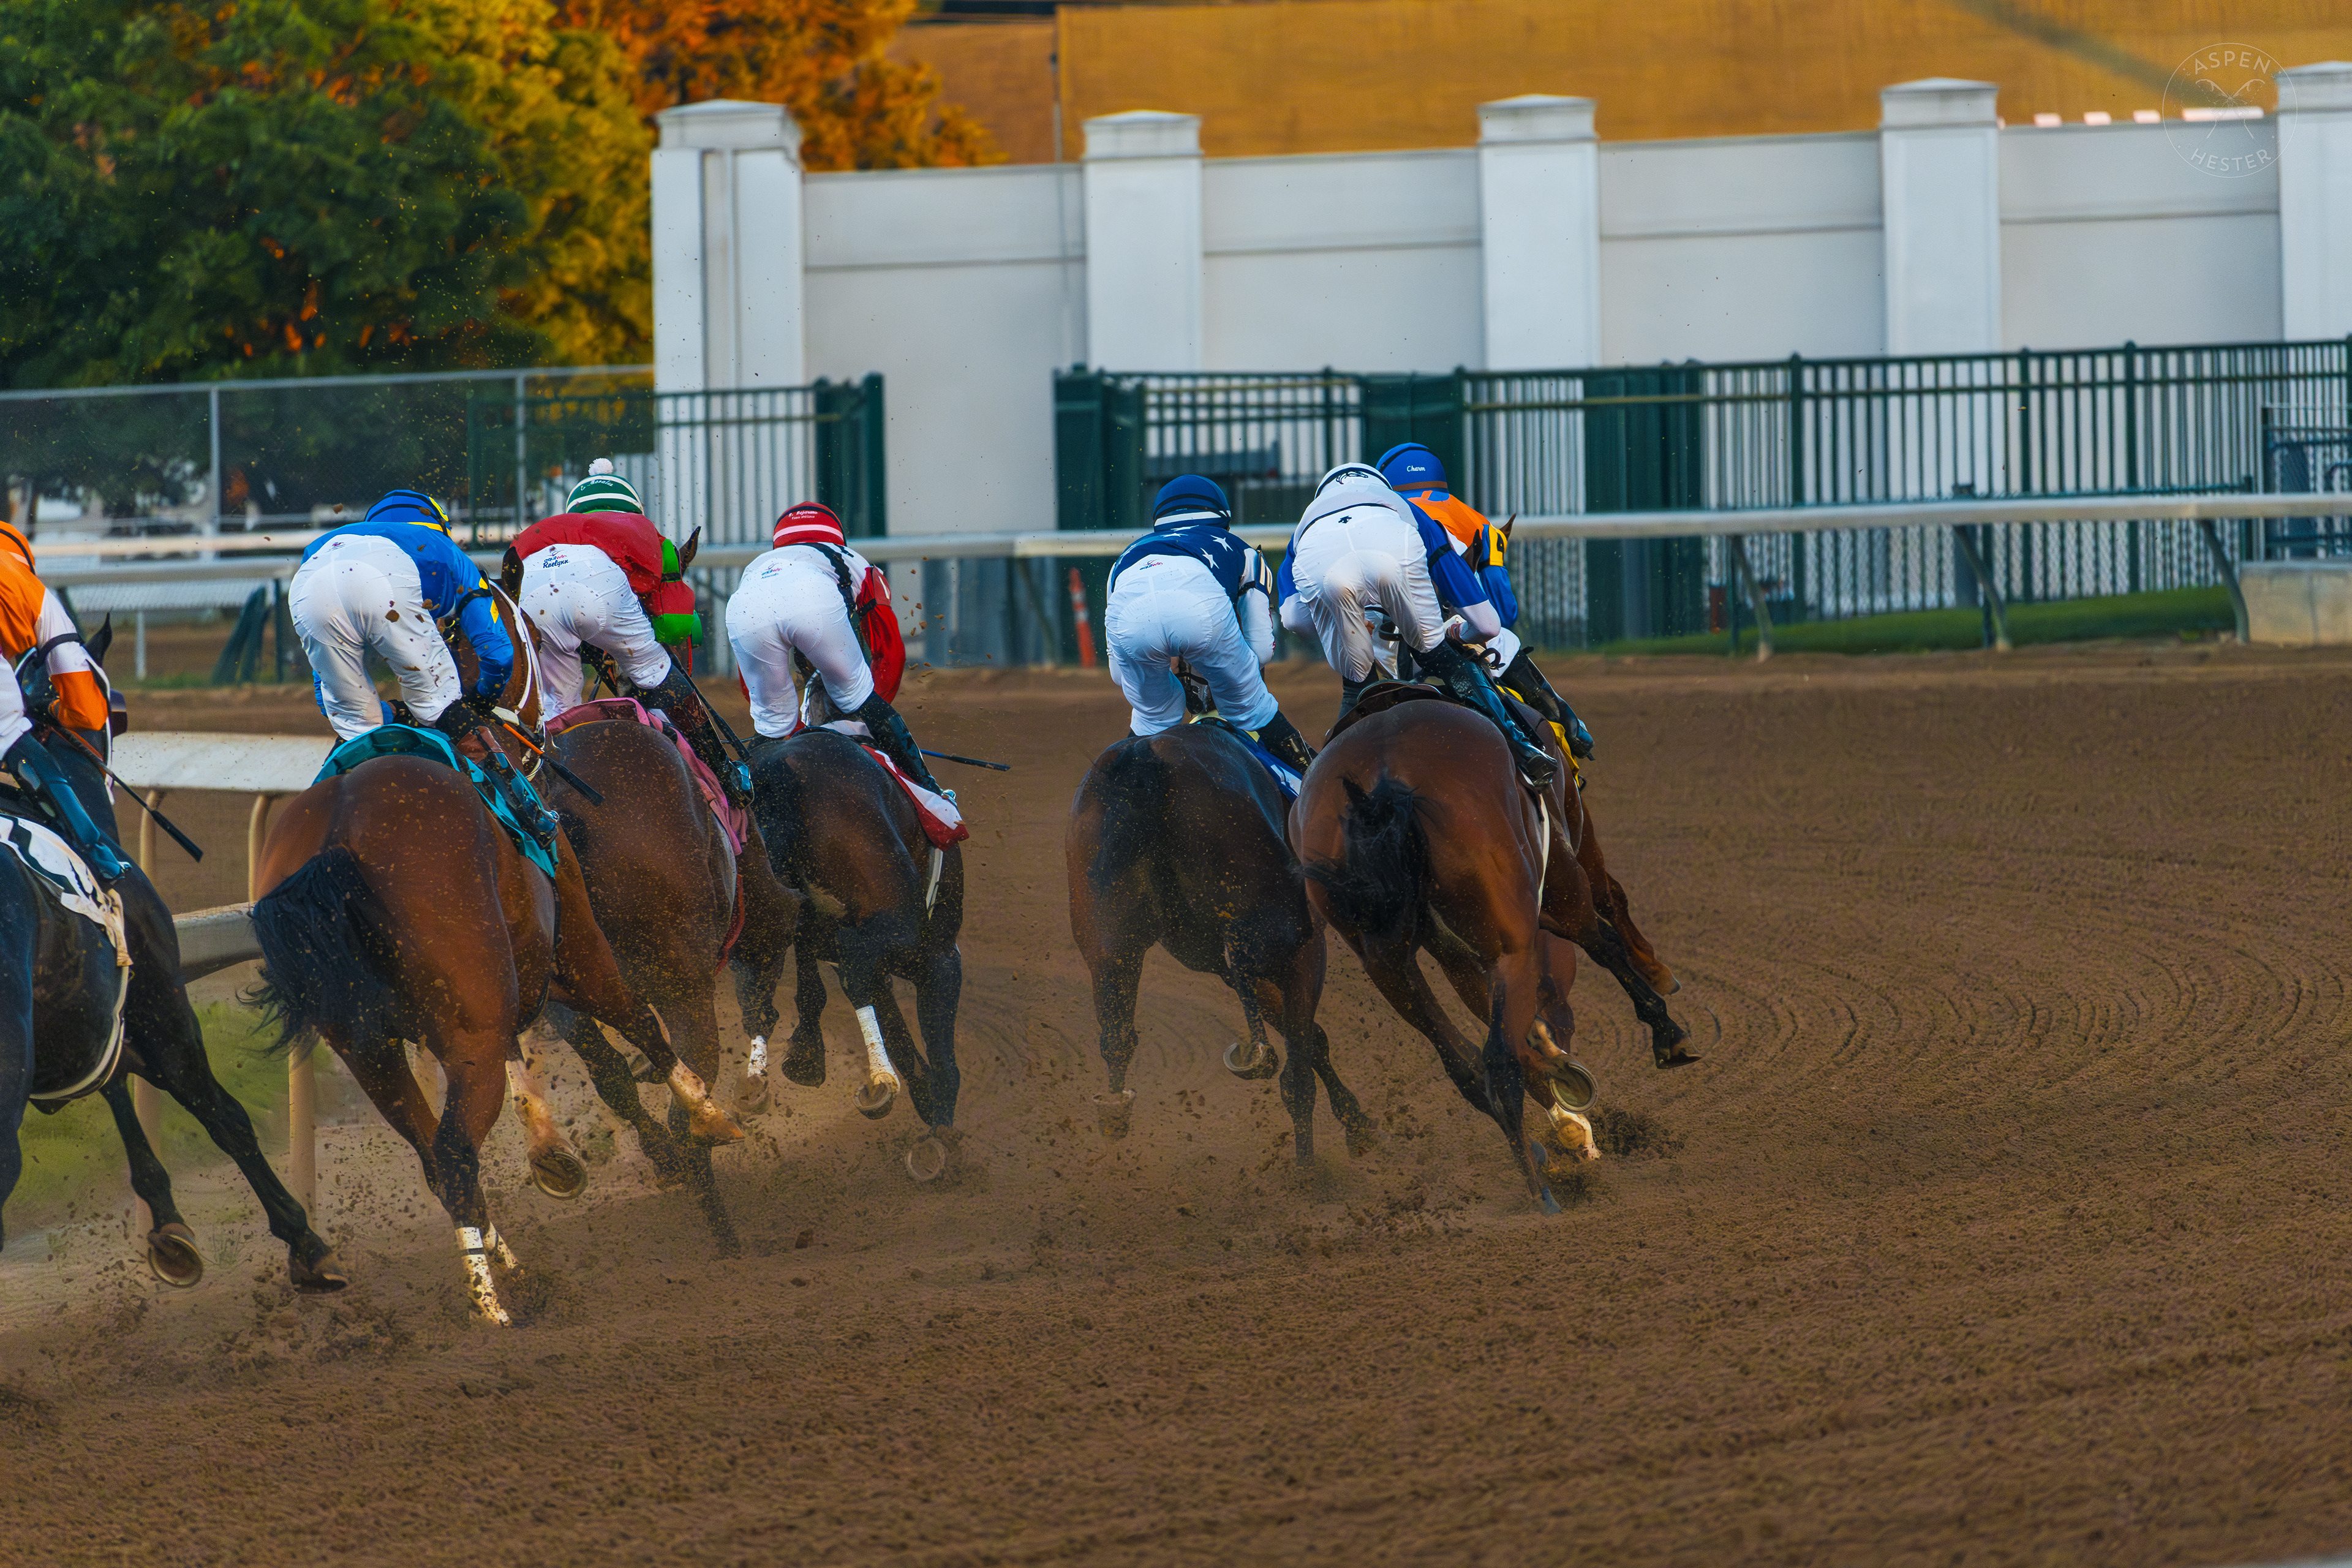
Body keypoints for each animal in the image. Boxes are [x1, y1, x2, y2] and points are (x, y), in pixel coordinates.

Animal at [0, 625, 346, 1290]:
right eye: (114, 706)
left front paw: (168, 1227)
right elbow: (225, 1116)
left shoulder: (95, 1020)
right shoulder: (161, 1007)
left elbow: (118, 1091)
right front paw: (306, 1241)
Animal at [247, 584, 742, 1325]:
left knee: (433, 1158)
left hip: (368, 1052)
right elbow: (638, 1022)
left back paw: (511, 1266)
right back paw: (492, 1302)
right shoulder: (579, 947)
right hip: (474, 1034)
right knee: (455, 1152)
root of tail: (336, 838)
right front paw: (709, 1115)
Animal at [1066, 722, 1380, 1165]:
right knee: (1294, 1068)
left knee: (1116, 1029)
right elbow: (1303, 1055)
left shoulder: (1230, 965)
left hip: (1109, 940)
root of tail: (1145, 761)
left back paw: (1114, 1108)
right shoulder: (1297, 950)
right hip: (1288, 938)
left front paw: (1355, 1122)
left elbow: (1310, 1041)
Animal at [1293, 683, 1691, 1209]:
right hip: (1513, 938)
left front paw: (1567, 1095)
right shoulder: (1560, 879)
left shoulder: (1457, 953)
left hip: (1388, 967)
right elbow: (1603, 931)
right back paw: (1542, 1195)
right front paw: (1664, 1020)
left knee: (1467, 1067)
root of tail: (1381, 786)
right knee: (1500, 1059)